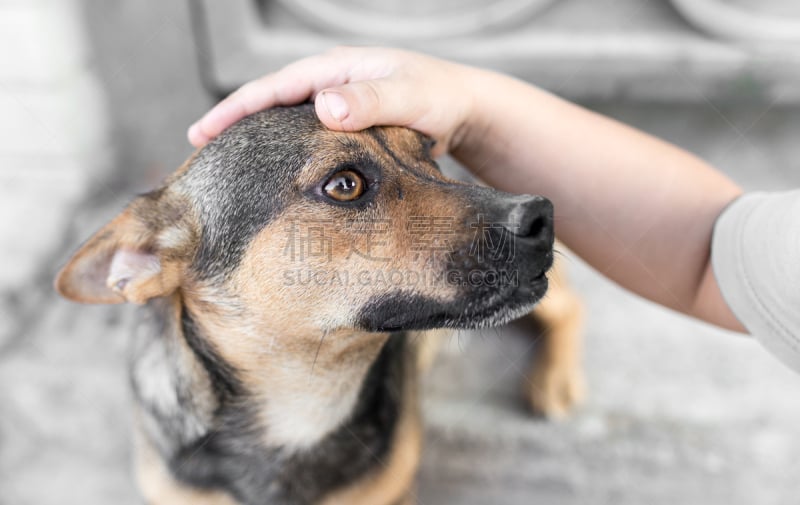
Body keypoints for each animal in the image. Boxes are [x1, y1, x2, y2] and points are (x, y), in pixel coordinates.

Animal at [54, 104, 580, 502]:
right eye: (345, 184)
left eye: (429, 152)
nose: (541, 216)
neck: (306, 404)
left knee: (571, 305)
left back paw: (555, 380)